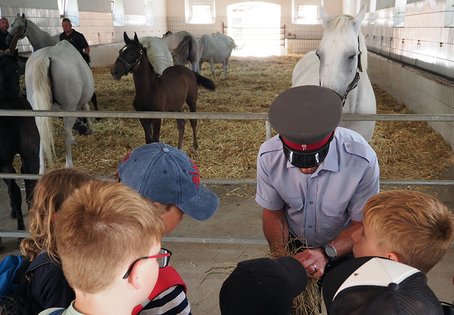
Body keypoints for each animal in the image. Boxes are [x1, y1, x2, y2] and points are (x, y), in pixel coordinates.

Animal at [25, 40, 94, 174]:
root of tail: (45, 57)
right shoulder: (80, 103)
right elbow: (86, 110)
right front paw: (90, 129)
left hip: (39, 110)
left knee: (42, 134)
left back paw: (42, 169)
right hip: (69, 106)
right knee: (66, 131)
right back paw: (69, 163)